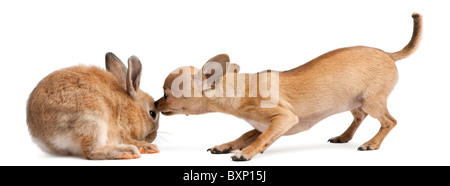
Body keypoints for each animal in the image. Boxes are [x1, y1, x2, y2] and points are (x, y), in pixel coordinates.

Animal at [26, 52, 160, 160]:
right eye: (152, 113)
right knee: (91, 151)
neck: (130, 108)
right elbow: (129, 139)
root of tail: (42, 135)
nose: (153, 137)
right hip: (93, 120)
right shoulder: (121, 131)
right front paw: (148, 146)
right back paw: (128, 151)